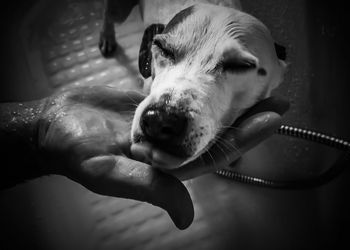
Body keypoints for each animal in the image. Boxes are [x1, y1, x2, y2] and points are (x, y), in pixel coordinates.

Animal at [99, 0, 288, 168]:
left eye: (241, 65)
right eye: (162, 48)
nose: (159, 120)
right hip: (119, 10)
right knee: (108, 15)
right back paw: (106, 38)